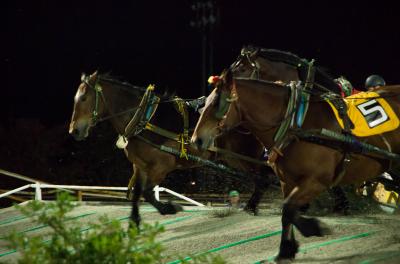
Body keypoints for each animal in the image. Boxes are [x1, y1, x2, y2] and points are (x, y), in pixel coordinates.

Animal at [69, 71, 276, 227]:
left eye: (84, 98)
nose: (74, 130)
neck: (144, 119)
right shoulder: (140, 166)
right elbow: (137, 192)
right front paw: (135, 220)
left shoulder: (161, 167)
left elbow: (147, 192)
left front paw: (169, 208)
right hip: (235, 159)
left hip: (244, 156)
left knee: (264, 178)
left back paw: (251, 206)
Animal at [190, 68, 400, 262]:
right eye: (203, 105)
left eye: (217, 104)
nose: (195, 140)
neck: (297, 125)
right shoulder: (287, 181)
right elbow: (287, 212)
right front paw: (287, 249)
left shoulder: (317, 181)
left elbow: (288, 207)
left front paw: (312, 228)